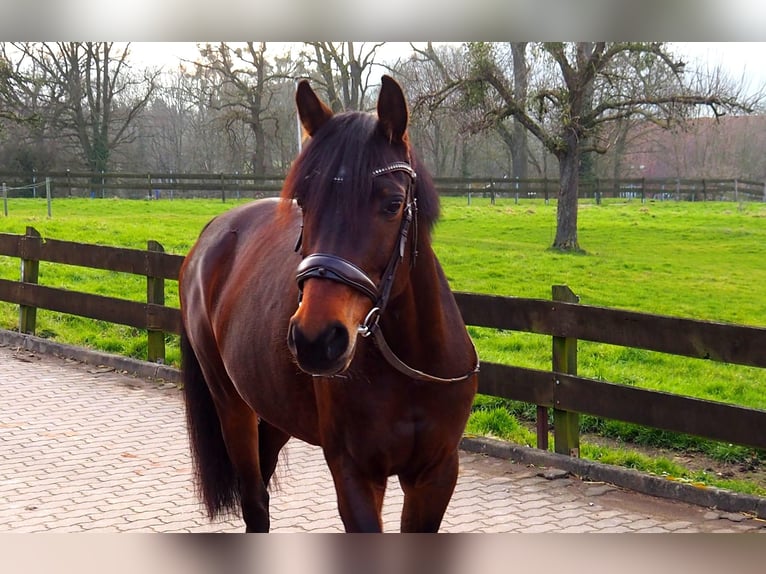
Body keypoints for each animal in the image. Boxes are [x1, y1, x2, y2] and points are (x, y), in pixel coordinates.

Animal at [180, 76, 480, 536]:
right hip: (232, 405)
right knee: (254, 500)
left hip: (275, 414)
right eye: (304, 201)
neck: (409, 368)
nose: (316, 339)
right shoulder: (354, 473)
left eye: (393, 203)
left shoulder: (436, 474)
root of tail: (212, 233)